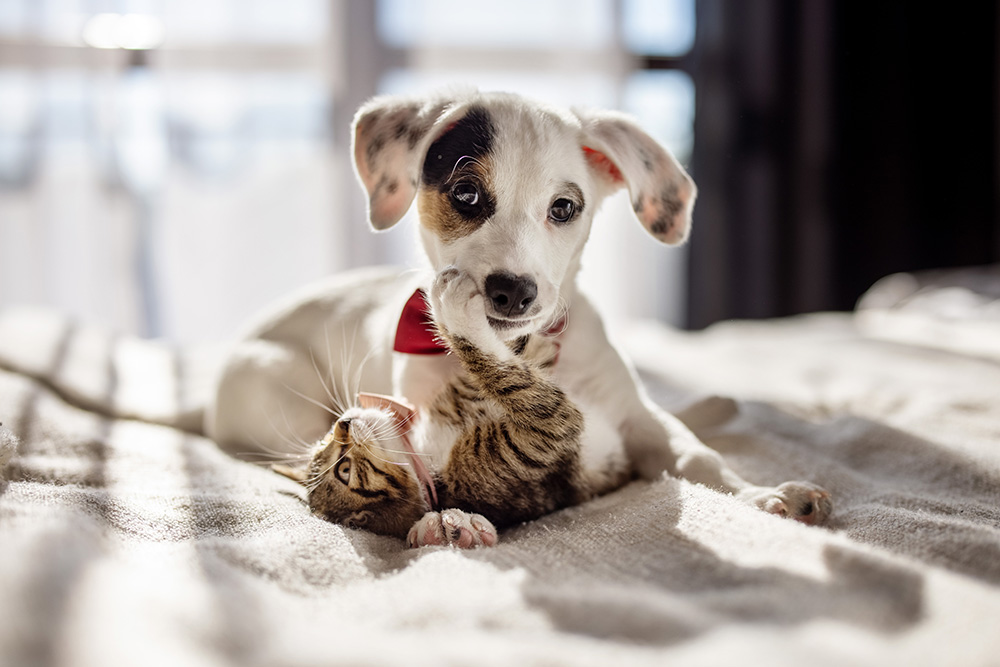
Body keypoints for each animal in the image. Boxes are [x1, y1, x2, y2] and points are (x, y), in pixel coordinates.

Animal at [207, 88, 832, 544]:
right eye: (464, 193)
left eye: (566, 207)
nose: (511, 293)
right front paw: (444, 521)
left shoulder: (639, 419)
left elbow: (700, 459)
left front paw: (760, 495)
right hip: (277, 392)